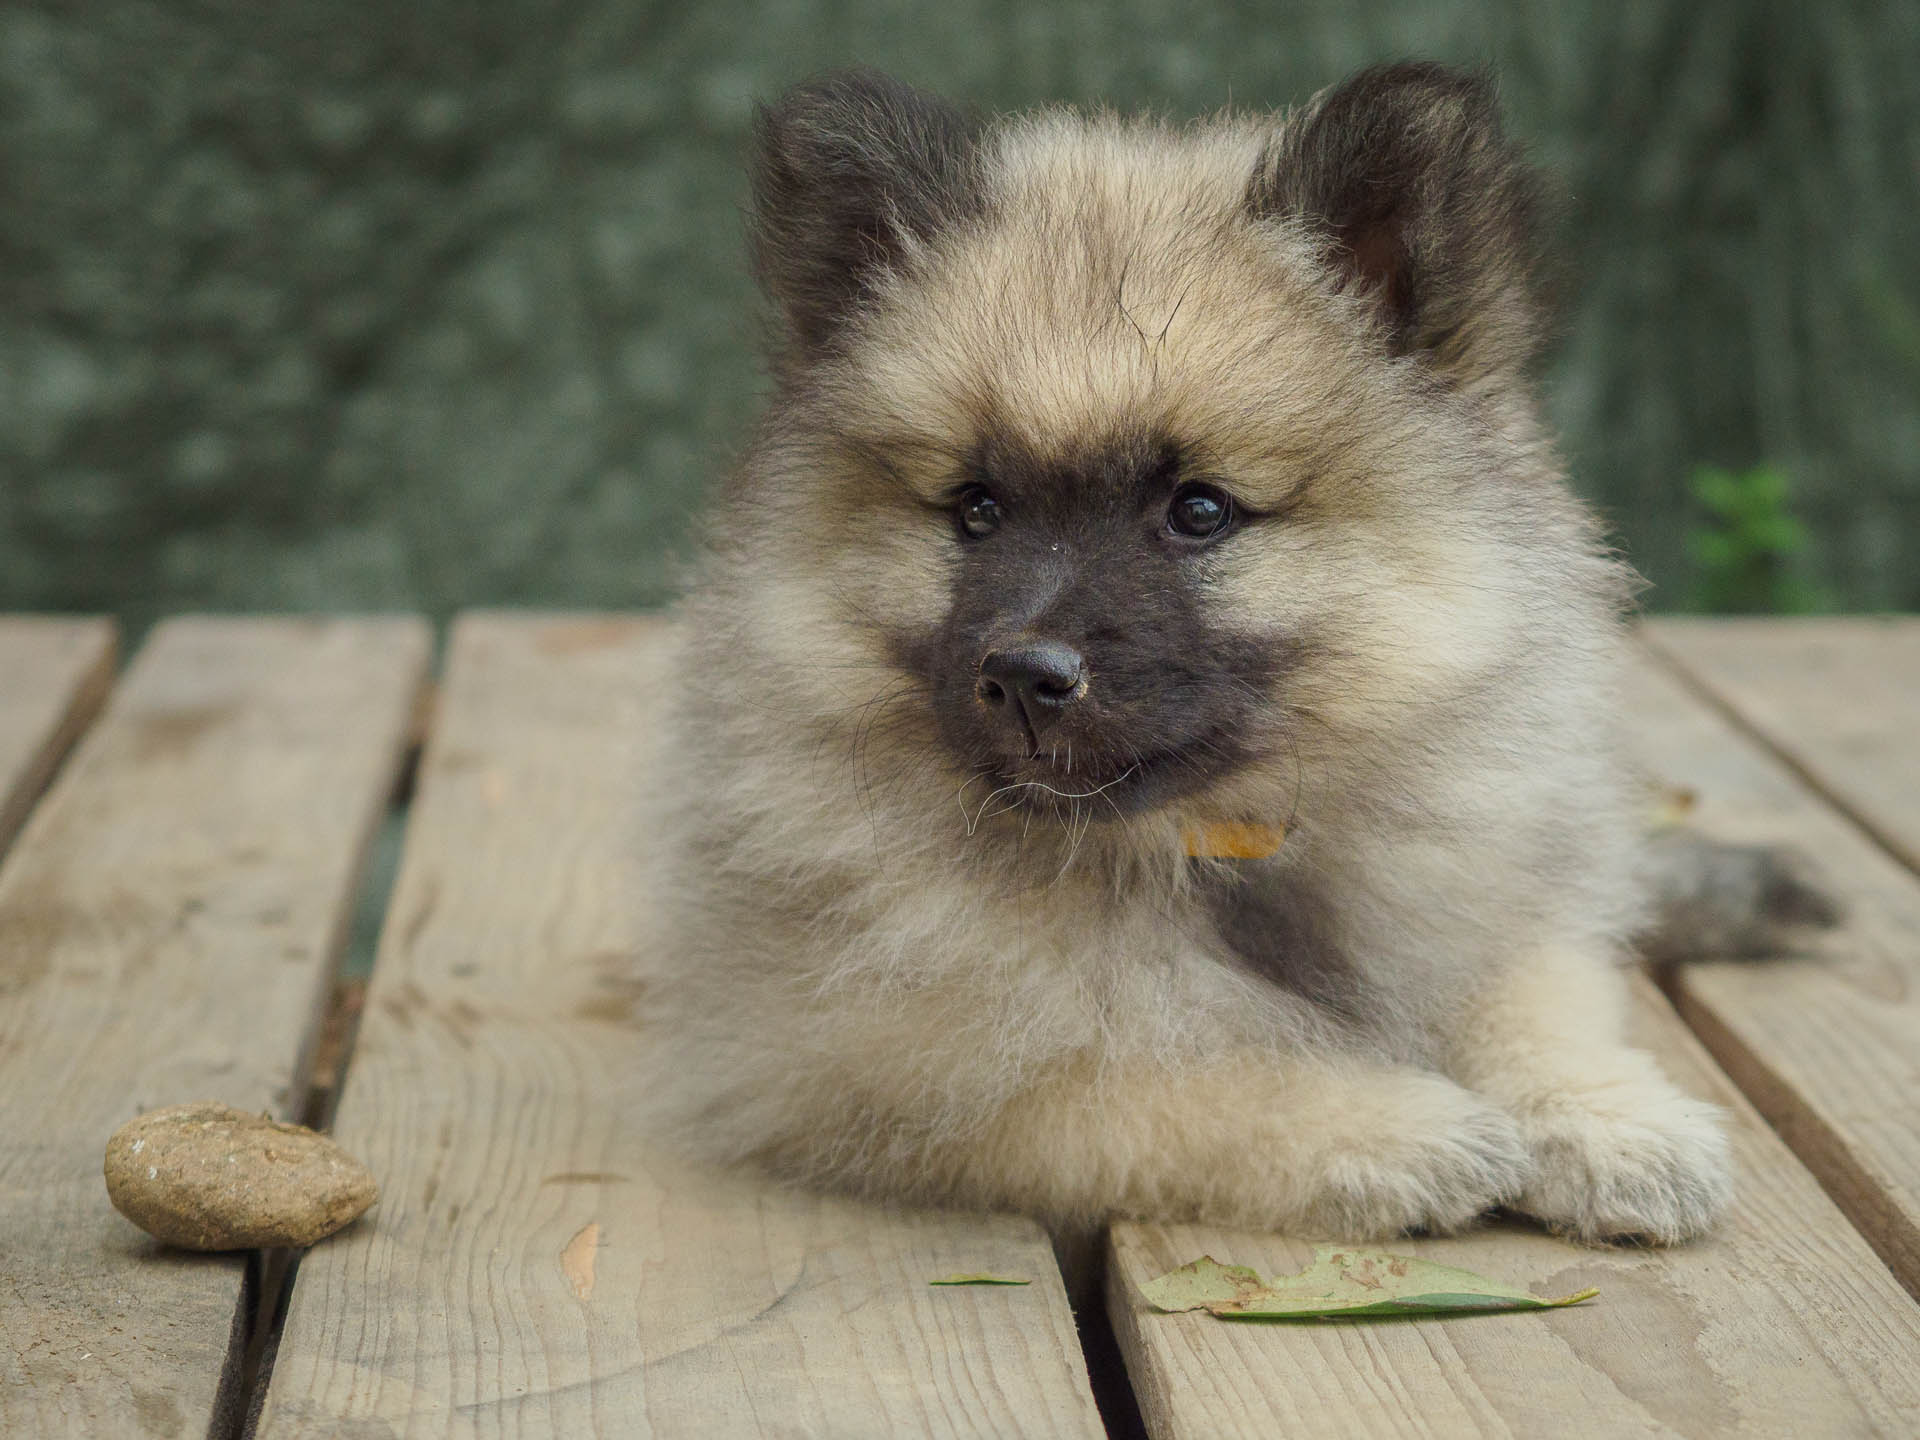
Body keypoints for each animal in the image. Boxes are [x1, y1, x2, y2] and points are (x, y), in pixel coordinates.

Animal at [633, 59, 1781, 1251]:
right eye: (977, 509)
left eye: (1199, 511)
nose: (1024, 675)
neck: (1199, 842)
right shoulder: (877, 1071)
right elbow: (1163, 1076)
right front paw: (1395, 1128)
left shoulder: (1476, 896)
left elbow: (1532, 989)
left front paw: (1604, 1116)